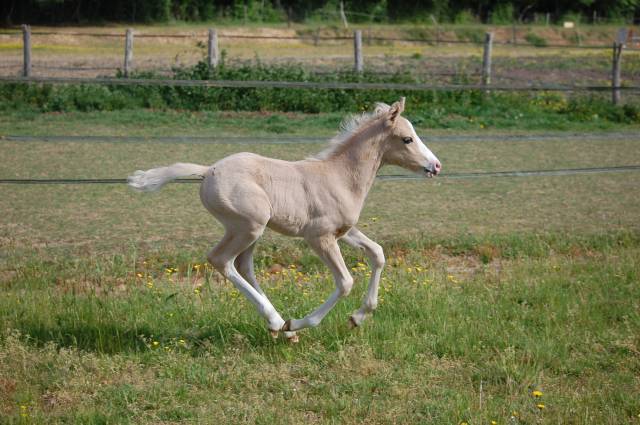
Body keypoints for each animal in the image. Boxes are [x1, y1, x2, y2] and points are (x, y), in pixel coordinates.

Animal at [128, 98, 441, 342]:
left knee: (244, 266)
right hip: (248, 227)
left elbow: (377, 254)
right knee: (221, 260)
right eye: (407, 139)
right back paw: (279, 322)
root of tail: (207, 171)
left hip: (248, 230)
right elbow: (345, 282)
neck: (340, 176)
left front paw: (358, 317)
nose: (436, 166)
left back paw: (279, 327)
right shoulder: (320, 237)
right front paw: (301, 322)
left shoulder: (344, 231)